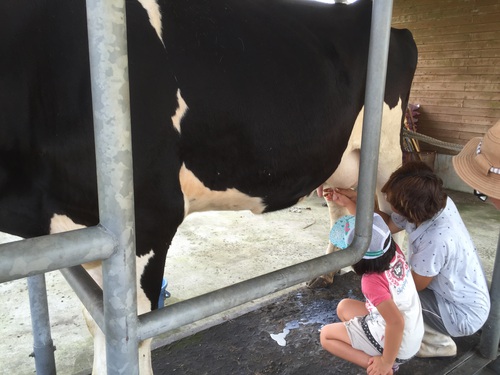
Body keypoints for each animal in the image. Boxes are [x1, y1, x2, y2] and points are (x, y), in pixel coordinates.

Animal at [0, 0, 414, 374]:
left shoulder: (147, 219)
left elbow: (133, 339)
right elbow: (95, 325)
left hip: (386, 152)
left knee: (400, 221)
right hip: (342, 162)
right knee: (342, 208)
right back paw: (327, 271)